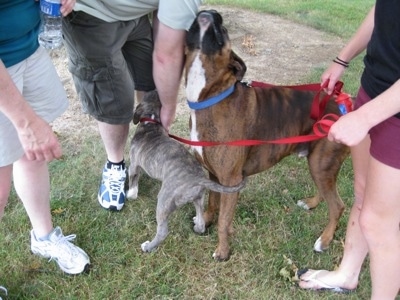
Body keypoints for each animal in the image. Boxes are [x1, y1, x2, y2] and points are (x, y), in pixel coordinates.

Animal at [128, 90, 247, 252]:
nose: (154, 89)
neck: (151, 122)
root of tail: (198, 179)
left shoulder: (133, 165)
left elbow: (133, 181)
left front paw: (130, 195)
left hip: (164, 200)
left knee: (163, 231)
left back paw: (148, 246)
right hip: (198, 198)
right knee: (201, 220)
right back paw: (197, 226)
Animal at [184, 9, 350, 260]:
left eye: (223, 29)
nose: (211, 12)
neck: (211, 96)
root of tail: (345, 105)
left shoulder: (231, 181)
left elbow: (224, 220)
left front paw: (223, 251)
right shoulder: (213, 175)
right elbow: (212, 204)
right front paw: (206, 222)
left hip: (321, 163)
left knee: (337, 206)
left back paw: (324, 240)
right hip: (319, 164)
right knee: (327, 193)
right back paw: (311, 204)